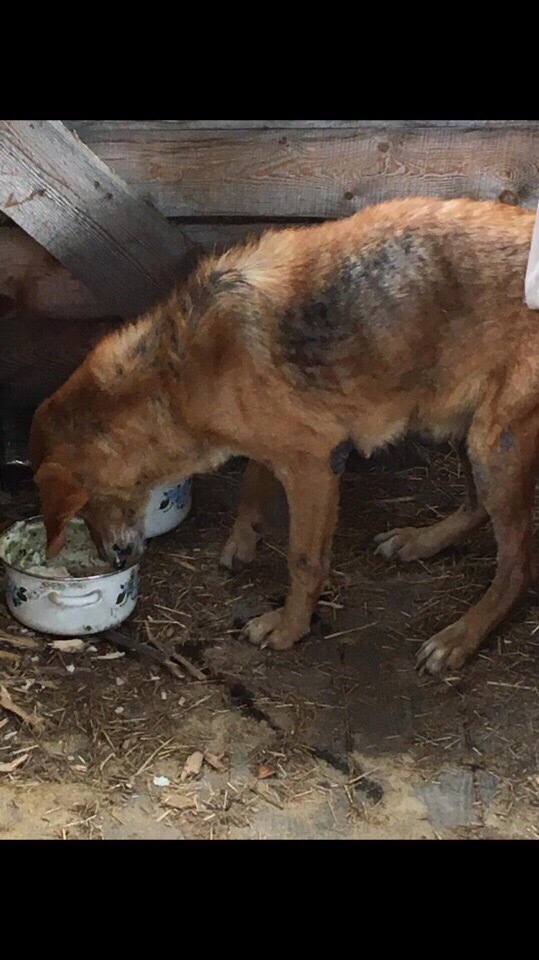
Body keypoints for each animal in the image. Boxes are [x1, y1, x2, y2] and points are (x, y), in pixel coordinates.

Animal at [29, 196, 539, 675]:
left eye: (85, 507)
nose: (113, 561)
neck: (174, 379)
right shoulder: (275, 446)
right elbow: (253, 482)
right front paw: (243, 542)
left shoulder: (315, 464)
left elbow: (305, 561)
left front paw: (290, 628)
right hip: (455, 423)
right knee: (475, 509)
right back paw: (421, 542)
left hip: (492, 445)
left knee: (518, 567)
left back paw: (460, 637)